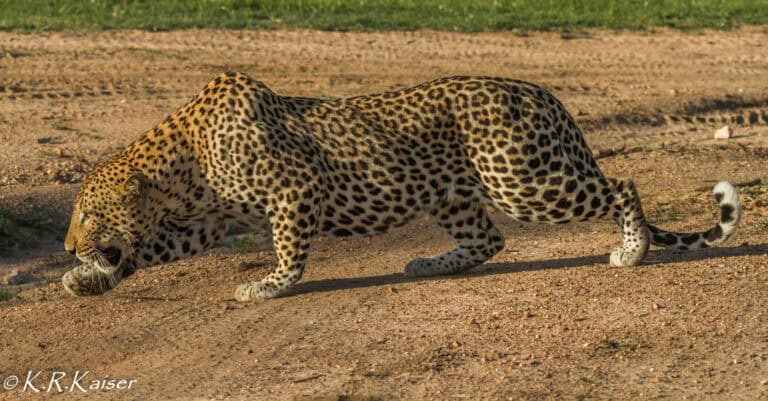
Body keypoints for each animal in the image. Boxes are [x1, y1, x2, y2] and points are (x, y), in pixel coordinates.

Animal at [62, 72, 742, 301]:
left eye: (88, 216)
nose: (67, 246)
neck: (184, 167)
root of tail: (544, 93)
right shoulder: (206, 223)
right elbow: (148, 250)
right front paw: (85, 279)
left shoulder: (295, 192)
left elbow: (289, 252)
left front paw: (269, 286)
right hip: (458, 192)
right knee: (488, 241)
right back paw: (429, 264)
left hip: (523, 180)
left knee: (621, 183)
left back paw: (631, 250)